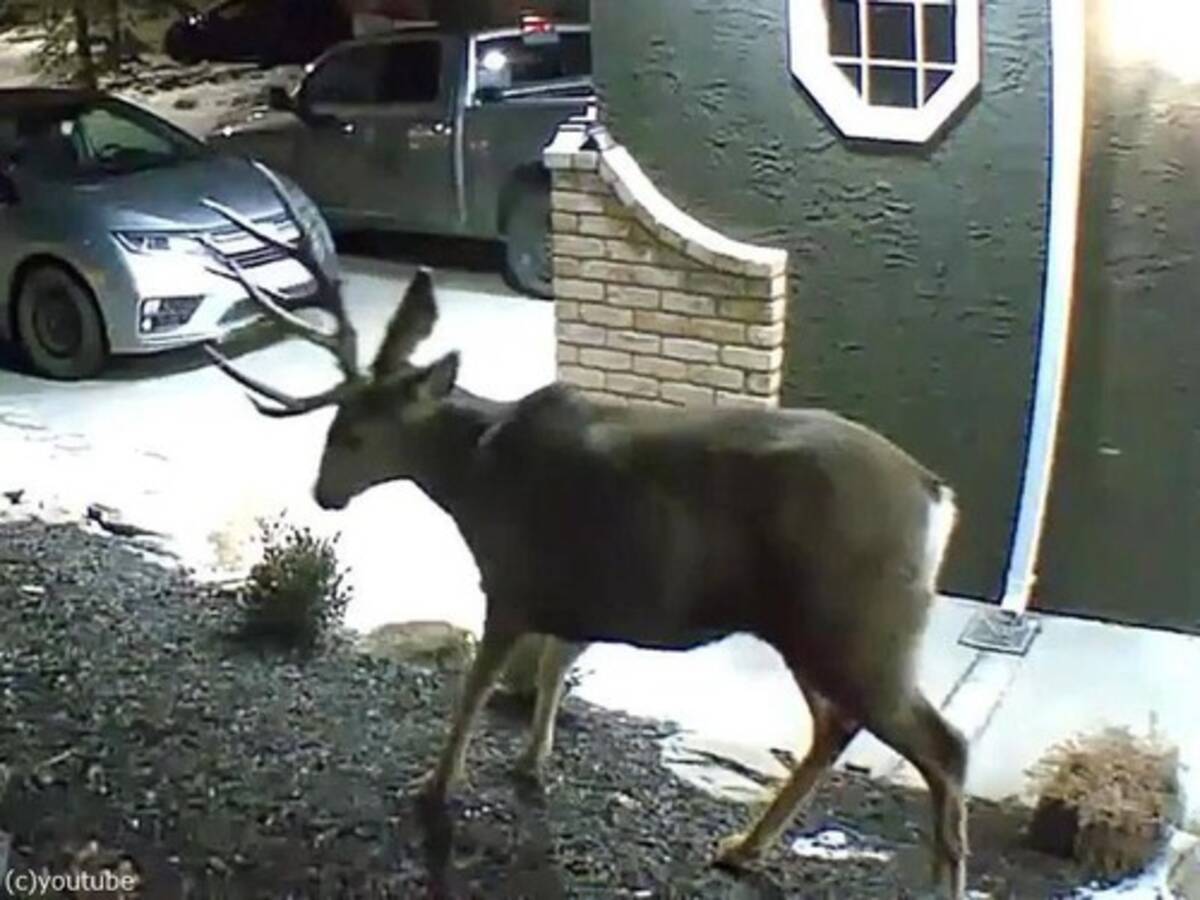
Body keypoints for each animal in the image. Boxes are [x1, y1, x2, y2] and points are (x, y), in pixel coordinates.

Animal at [199, 168, 969, 898]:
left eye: (352, 435)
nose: (323, 494)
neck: (474, 471)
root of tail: (938, 496)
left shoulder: (511, 577)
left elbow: (477, 685)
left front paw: (435, 787)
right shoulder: (581, 593)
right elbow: (554, 668)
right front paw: (530, 765)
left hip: (855, 620)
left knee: (944, 747)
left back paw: (936, 879)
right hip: (811, 627)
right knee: (837, 727)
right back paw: (741, 848)